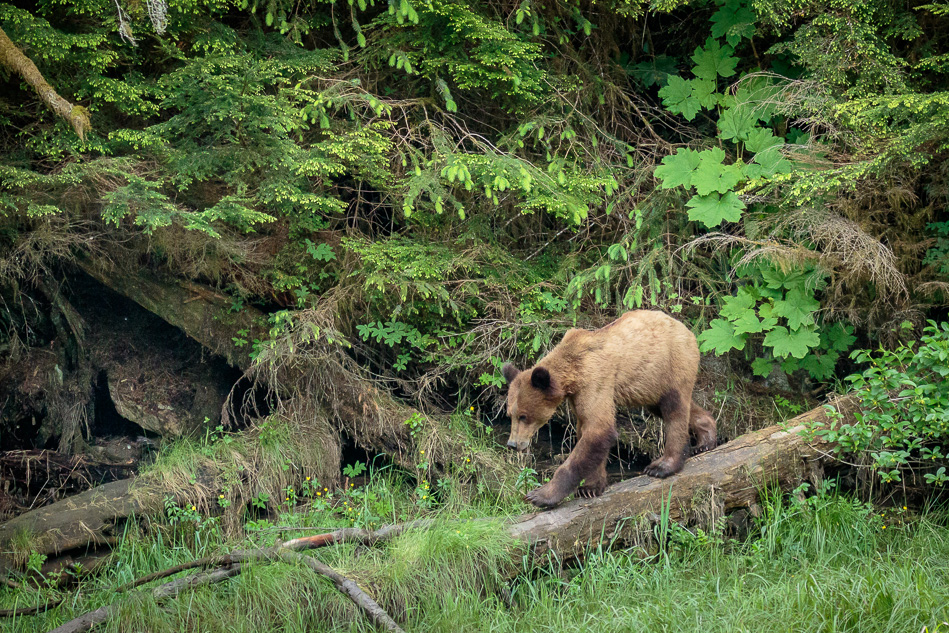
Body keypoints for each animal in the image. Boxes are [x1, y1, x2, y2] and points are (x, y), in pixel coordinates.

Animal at [502, 310, 717, 509]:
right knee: (673, 408)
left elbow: (598, 429)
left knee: (674, 410)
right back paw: (706, 439)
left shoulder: (595, 380)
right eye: (510, 415)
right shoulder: (579, 395)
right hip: (651, 384)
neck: (572, 374)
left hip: (671, 363)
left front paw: (540, 495)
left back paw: (663, 466)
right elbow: (587, 431)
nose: (513, 444)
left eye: (524, 416)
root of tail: (688, 331)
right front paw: (590, 487)